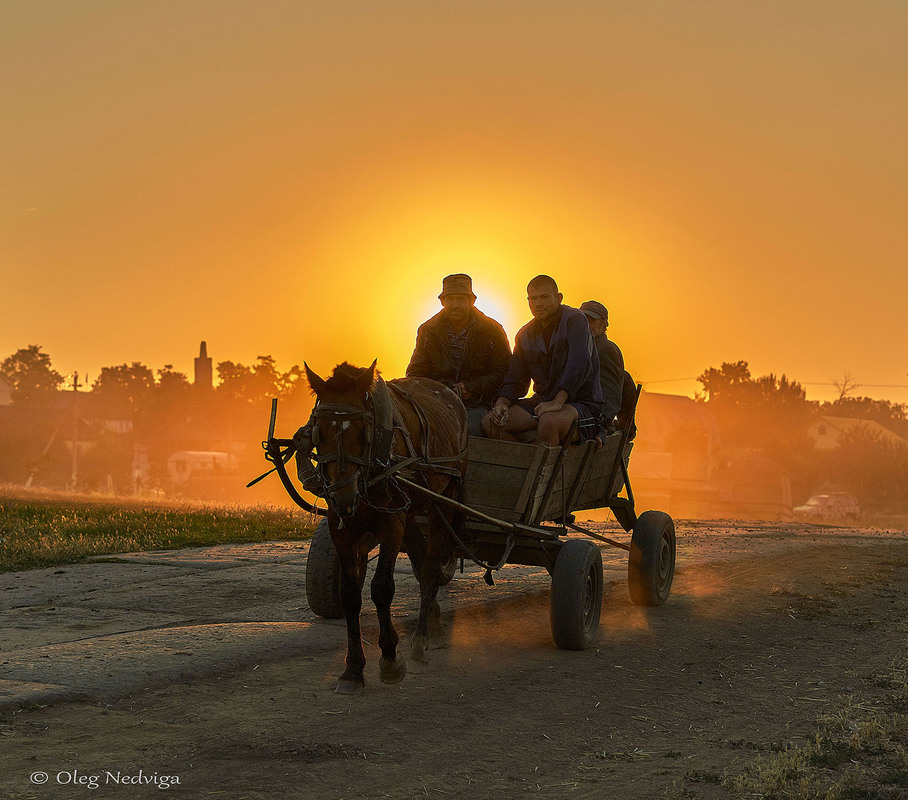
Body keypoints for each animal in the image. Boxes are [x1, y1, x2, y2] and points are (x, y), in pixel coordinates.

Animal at [302, 362, 468, 692]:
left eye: (363, 431)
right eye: (318, 430)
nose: (344, 497)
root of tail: (449, 392)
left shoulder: (392, 522)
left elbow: (381, 587)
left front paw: (391, 657)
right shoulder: (341, 527)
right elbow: (350, 594)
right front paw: (353, 668)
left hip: (443, 499)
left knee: (431, 567)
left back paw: (420, 640)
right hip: (412, 507)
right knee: (422, 560)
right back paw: (432, 619)